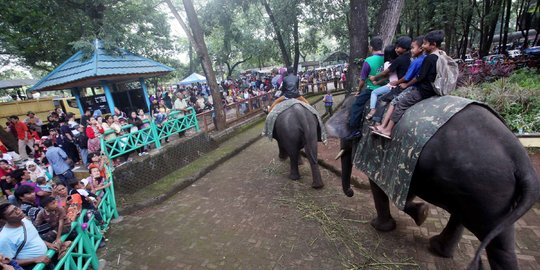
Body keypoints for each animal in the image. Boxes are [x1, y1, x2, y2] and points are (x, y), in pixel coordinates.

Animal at [324, 96, 540, 270]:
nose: (350, 192)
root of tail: (523, 164)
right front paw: (422, 213)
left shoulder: (375, 150)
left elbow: (378, 186)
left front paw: (381, 226)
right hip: (481, 191)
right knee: (480, 227)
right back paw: (438, 248)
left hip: (486, 190)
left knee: (495, 242)